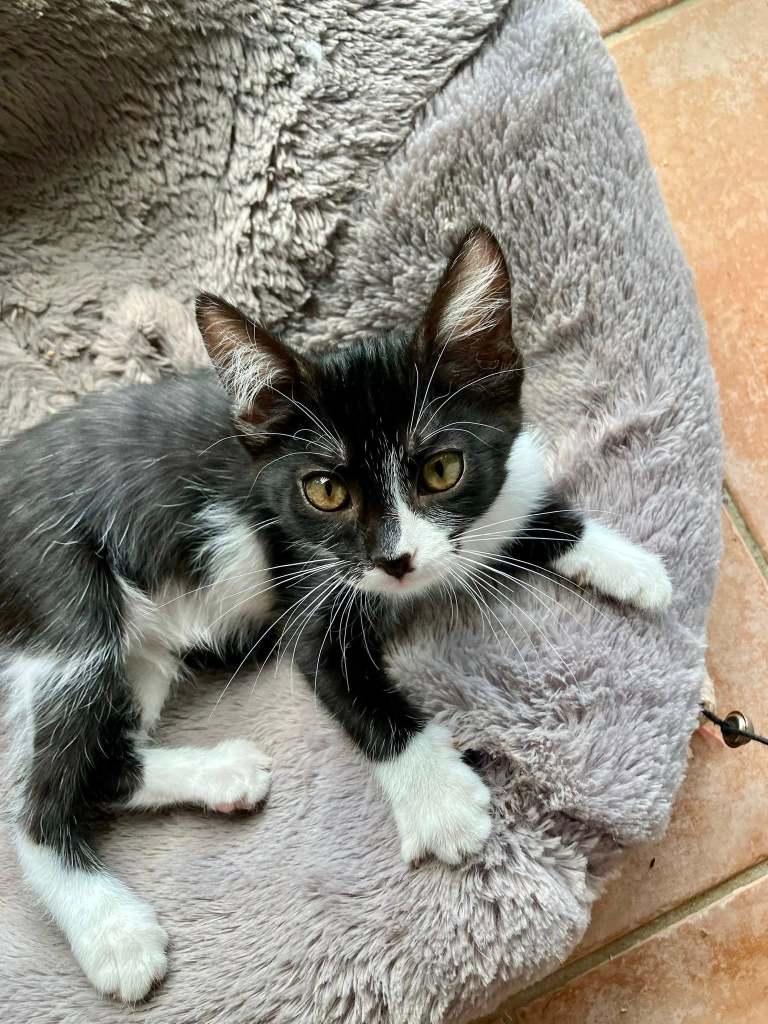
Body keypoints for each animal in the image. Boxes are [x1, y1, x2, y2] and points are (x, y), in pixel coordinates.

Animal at [1, 226, 671, 1002]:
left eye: (442, 470)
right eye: (325, 491)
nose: (395, 559)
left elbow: (520, 518)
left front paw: (633, 567)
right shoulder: (315, 589)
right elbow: (353, 689)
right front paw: (441, 800)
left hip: (137, 654)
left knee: (108, 759)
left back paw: (221, 775)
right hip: (64, 605)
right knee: (37, 802)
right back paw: (112, 930)